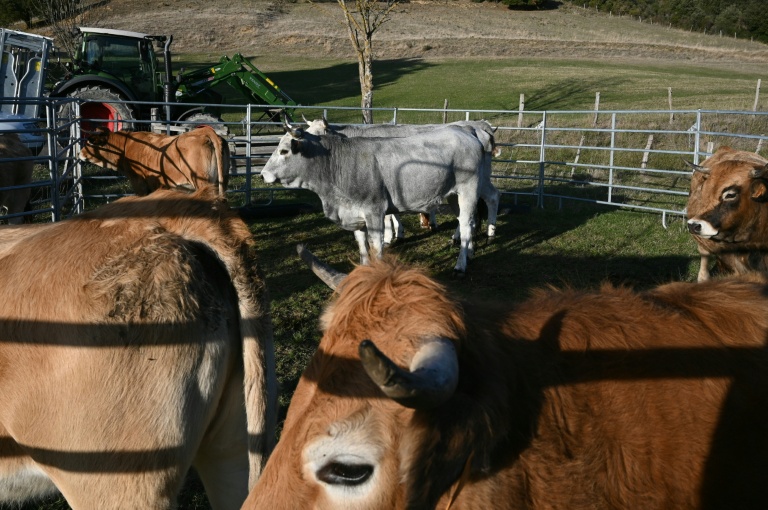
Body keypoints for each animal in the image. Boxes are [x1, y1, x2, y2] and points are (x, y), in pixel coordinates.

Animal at [79, 125, 231, 196]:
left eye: (90, 142)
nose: (79, 153)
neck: (126, 146)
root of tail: (204, 132)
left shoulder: (139, 183)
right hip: (222, 181)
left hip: (203, 182)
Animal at [261, 125, 487, 273]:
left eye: (284, 151)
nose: (263, 174)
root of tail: (466, 132)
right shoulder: (355, 215)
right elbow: (362, 247)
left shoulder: (374, 211)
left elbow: (376, 247)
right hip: (453, 196)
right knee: (467, 221)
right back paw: (470, 253)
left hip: (469, 189)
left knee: (466, 224)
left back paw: (461, 264)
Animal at [302, 117, 501, 241]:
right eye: (306, 131)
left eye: (318, 134)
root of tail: (476, 126)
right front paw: (398, 233)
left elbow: (388, 216)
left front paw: (390, 236)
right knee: (486, 199)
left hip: (476, 180)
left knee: (488, 200)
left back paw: (485, 232)